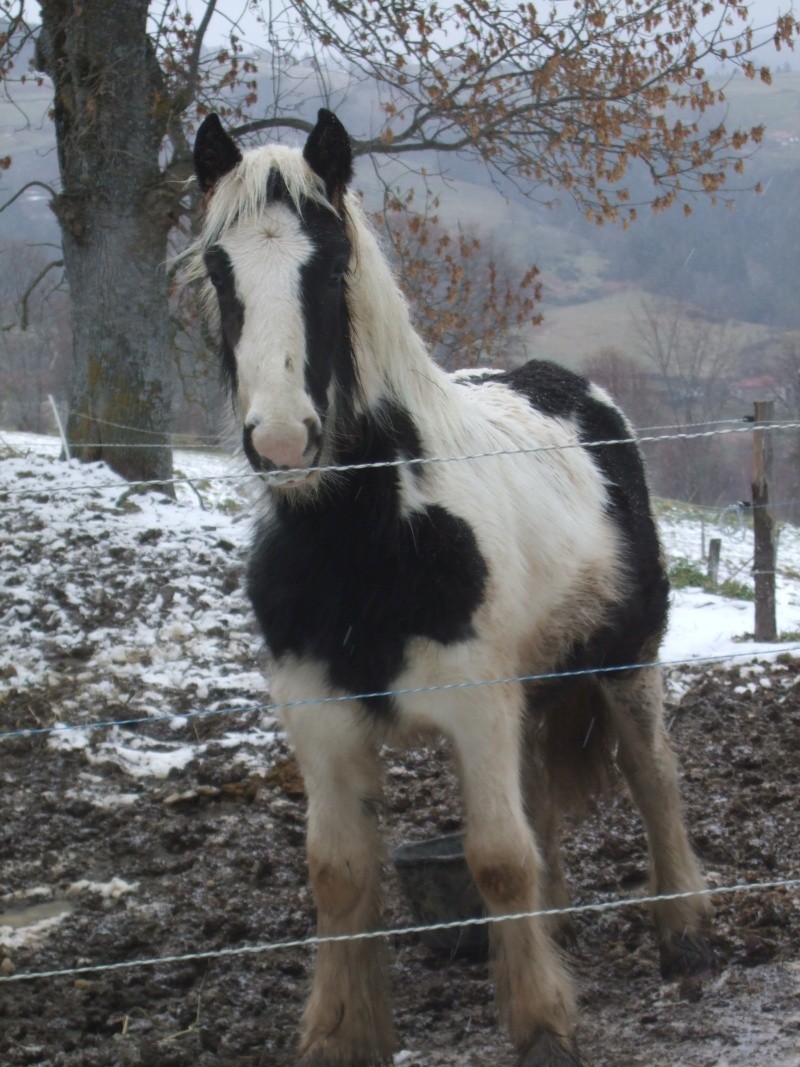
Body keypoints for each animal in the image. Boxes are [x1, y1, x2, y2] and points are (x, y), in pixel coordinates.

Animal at [187, 110, 712, 1067]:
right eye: (219, 267)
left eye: (333, 265)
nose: (282, 440)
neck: (364, 537)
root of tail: (577, 389)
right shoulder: (321, 720)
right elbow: (339, 872)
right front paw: (338, 1031)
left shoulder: (475, 705)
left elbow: (499, 855)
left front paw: (543, 1025)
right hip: (532, 686)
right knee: (543, 796)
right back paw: (560, 926)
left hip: (625, 660)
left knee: (653, 776)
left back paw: (685, 930)